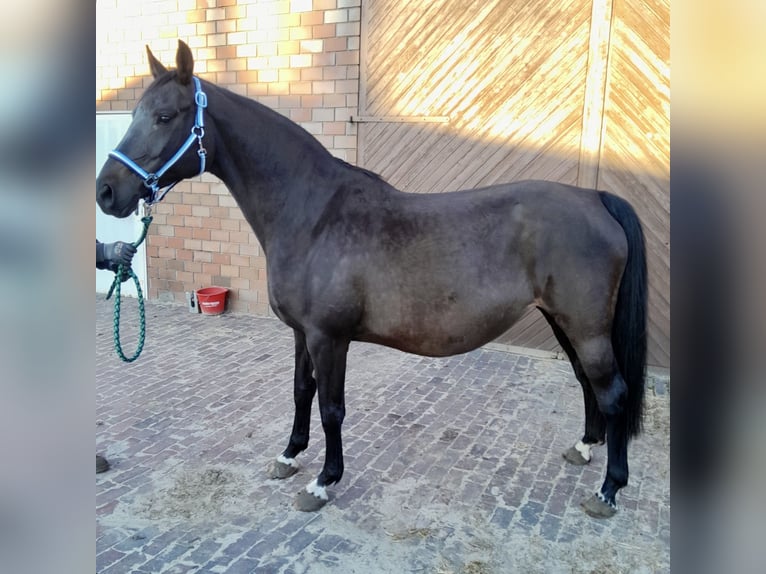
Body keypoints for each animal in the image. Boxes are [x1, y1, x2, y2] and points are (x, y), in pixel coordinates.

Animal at [97, 40, 647, 519]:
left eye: (165, 116)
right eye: (134, 113)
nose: (106, 192)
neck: (314, 214)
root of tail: (596, 198)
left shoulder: (329, 337)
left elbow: (331, 407)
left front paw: (323, 482)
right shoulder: (301, 334)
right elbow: (300, 391)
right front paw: (289, 456)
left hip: (586, 327)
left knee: (613, 393)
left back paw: (609, 490)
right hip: (563, 321)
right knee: (586, 382)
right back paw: (584, 449)